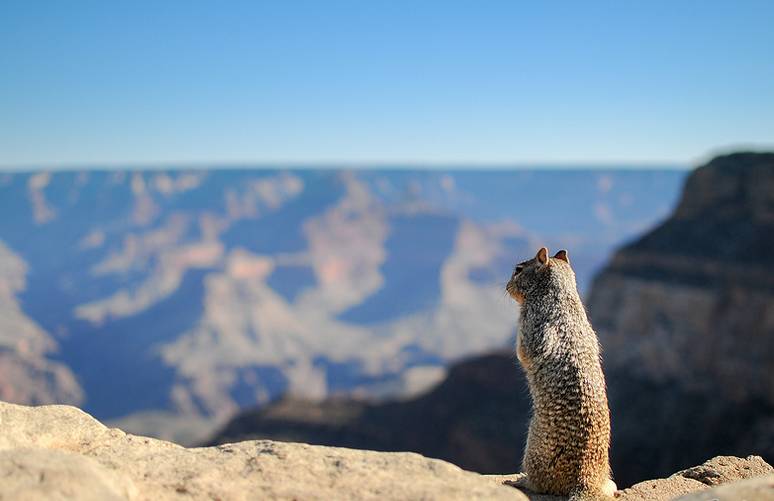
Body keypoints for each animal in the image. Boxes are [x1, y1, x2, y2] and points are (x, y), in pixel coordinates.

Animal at [510, 247, 620, 500]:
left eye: (518, 270)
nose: (507, 286)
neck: (560, 295)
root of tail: (585, 481)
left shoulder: (529, 324)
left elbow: (523, 352)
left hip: (532, 449)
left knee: (539, 484)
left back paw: (521, 480)